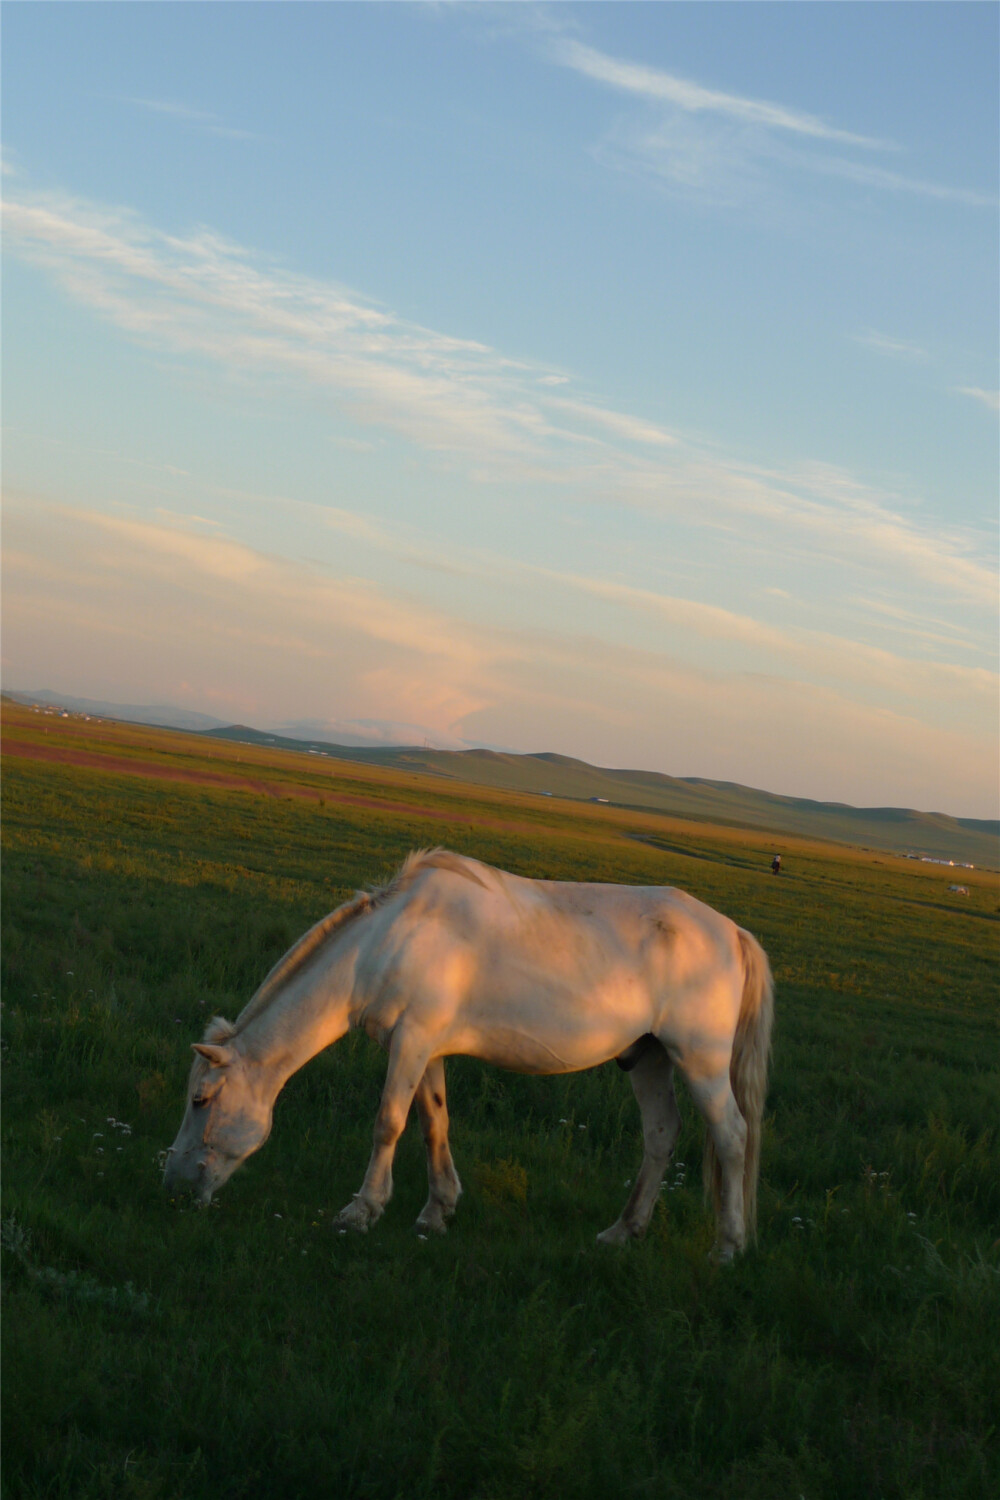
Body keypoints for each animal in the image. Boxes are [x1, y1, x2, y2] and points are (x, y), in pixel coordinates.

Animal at [166, 852, 773, 1260]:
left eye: (200, 1099)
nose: (172, 1184)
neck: (385, 942)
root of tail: (733, 933)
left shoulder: (411, 1043)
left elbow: (388, 1123)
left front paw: (362, 1211)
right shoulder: (424, 1048)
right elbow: (433, 1123)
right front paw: (437, 1212)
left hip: (699, 1061)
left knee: (732, 1136)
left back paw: (727, 1246)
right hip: (646, 1058)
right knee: (661, 1135)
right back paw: (622, 1231)